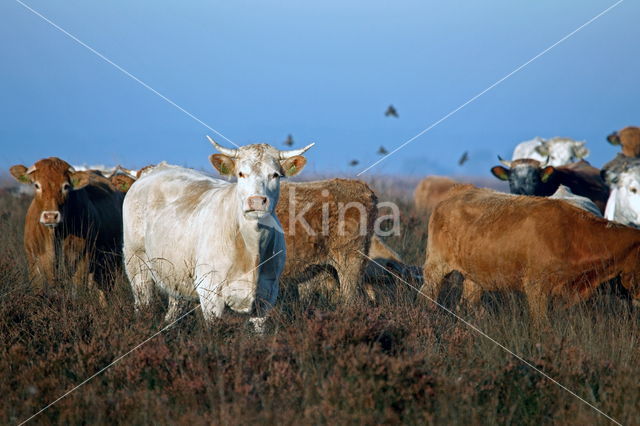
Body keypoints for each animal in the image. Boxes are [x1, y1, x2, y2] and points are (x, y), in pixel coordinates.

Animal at [122, 137, 312, 322]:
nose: (257, 201)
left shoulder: (267, 296)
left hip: (174, 275)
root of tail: (156, 169)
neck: (251, 248)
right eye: (241, 174)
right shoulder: (210, 293)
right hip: (137, 263)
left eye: (275, 175)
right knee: (143, 303)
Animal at [420, 185, 640, 322]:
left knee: (469, 305)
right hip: (436, 267)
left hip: (474, 277)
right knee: (427, 295)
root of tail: (460, 189)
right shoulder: (536, 287)